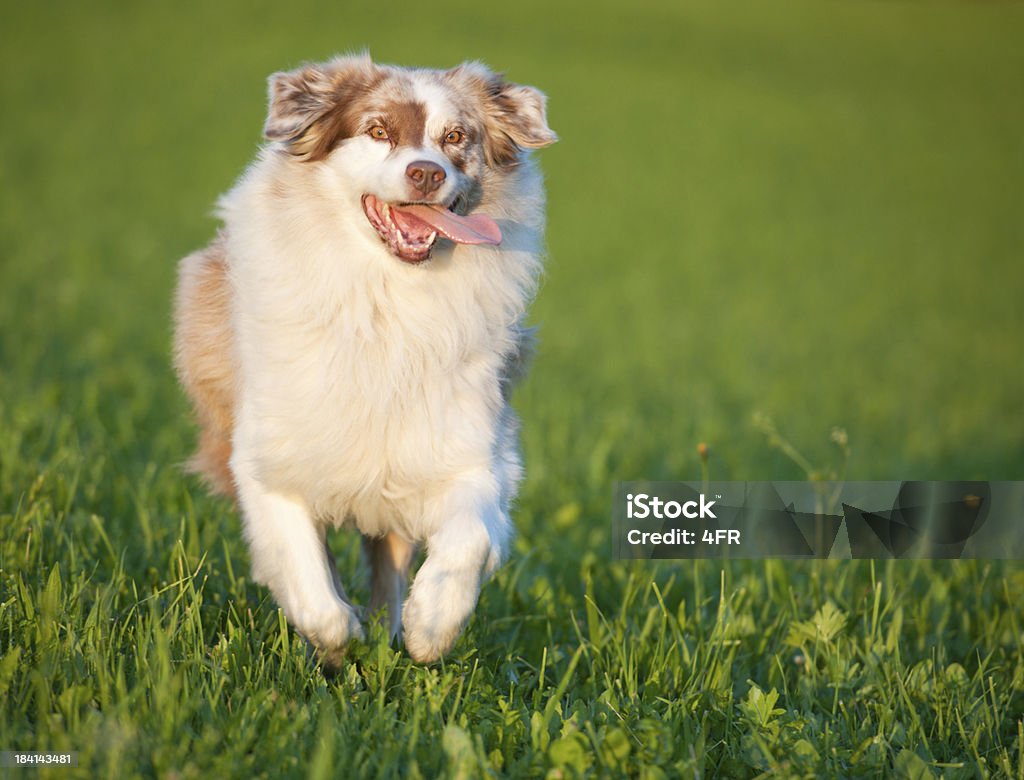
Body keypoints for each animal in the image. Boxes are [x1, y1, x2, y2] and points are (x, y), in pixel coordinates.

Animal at [176, 54, 561, 663]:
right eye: (378, 131)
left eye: (456, 137)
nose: (426, 174)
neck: (388, 299)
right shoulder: (270, 462)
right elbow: (310, 583)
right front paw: (338, 643)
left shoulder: (469, 451)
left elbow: (468, 540)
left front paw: (431, 627)